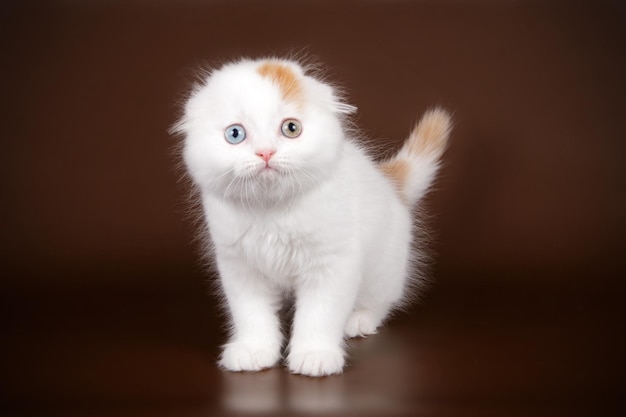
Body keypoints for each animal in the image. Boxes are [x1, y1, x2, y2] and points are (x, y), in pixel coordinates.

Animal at [173, 58, 450, 376]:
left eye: (291, 128)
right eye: (235, 134)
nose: (265, 153)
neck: (272, 212)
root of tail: (389, 184)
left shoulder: (332, 263)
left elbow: (320, 314)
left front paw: (314, 355)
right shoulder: (240, 266)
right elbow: (252, 314)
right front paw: (254, 350)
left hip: (384, 267)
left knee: (382, 300)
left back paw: (359, 320)